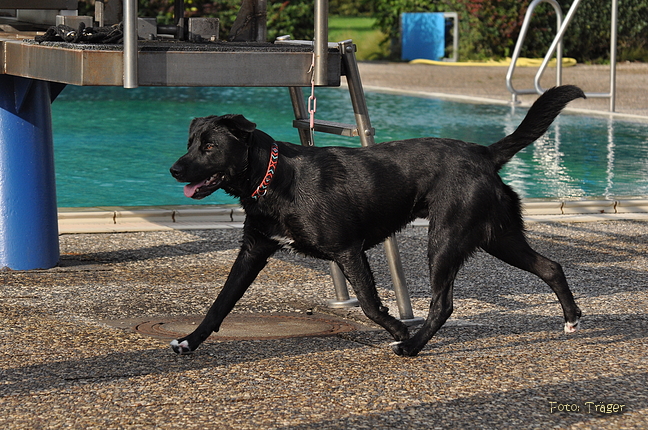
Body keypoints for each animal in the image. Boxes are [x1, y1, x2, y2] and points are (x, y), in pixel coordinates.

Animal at [170, 85, 584, 358]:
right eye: (190, 143)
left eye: (210, 147)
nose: (174, 169)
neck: (275, 177)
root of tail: (484, 152)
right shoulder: (254, 250)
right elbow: (220, 303)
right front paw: (189, 340)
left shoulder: (348, 250)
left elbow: (369, 304)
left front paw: (398, 328)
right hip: (497, 237)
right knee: (551, 266)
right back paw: (571, 319)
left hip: (446, 240)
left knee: (443, 304)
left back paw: (411, 346)